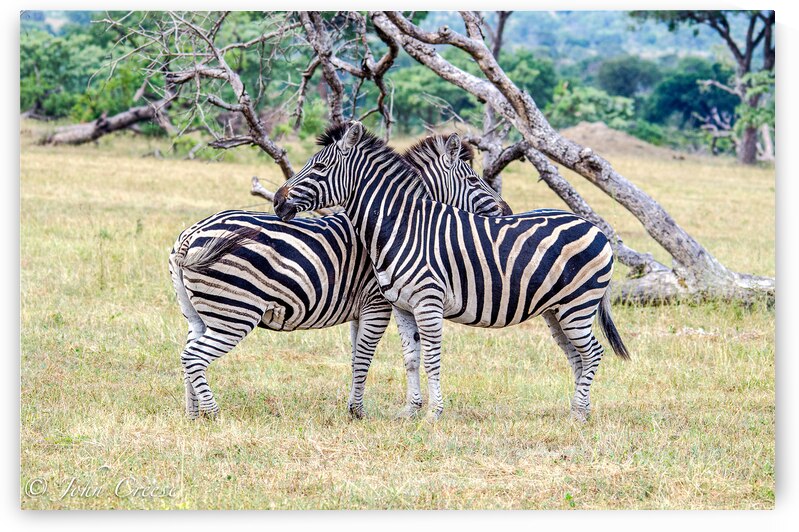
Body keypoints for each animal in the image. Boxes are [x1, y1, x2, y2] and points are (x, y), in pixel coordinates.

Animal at [169, 132, 509, 419]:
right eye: (472, 179)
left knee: (187, 354)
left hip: (200, 313)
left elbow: (357, 355)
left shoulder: (361, 310)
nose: (506, 210)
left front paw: (354, 406)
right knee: (195, 357)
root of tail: (190, 234)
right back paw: (214, 413)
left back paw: (193, 414)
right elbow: (364, 357)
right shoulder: (377, 304)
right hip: (235, 313)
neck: (397, 223)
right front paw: (357, 412)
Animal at [273, 121, 630, 422]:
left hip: (578, 305)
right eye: (472, 179)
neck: (402, 227)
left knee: (593, 353)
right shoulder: (402, 307)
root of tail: (595, 228)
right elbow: (411, 358)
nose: (277, 201)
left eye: (319, 167)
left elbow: (431, 358)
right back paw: (578, 412)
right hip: (556, 311)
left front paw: (434, 413)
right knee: (577, 356)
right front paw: (411, 411)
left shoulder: (426, 303)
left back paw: (580, 412)